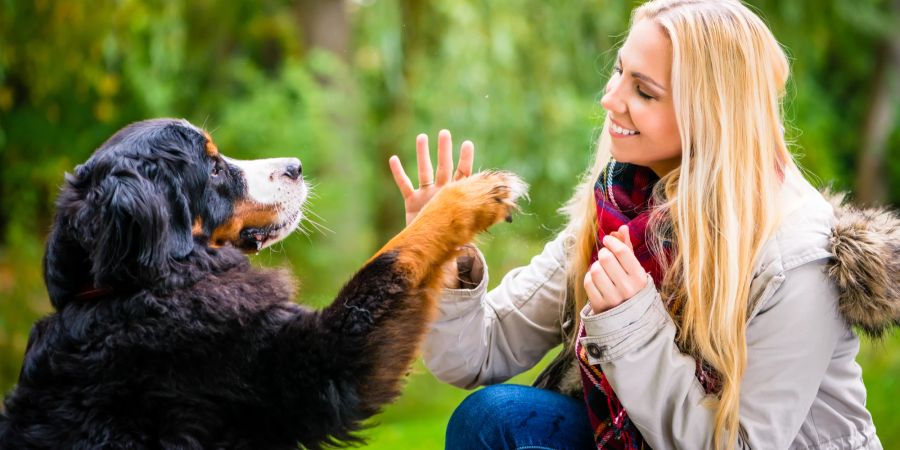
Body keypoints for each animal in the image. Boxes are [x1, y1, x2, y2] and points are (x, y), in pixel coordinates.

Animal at [0, 118, 528, 448]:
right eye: (213, 168)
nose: (296, 167)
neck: (133, 291)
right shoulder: (318, 367)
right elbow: (392, 256)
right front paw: (472, 193)